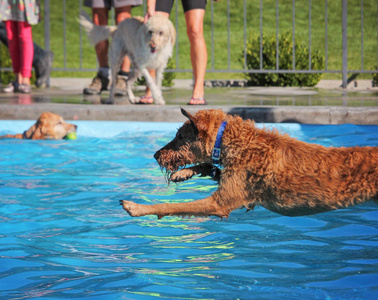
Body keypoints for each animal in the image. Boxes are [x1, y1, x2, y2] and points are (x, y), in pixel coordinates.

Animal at [119, 109, 376, 219]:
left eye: (180, 136)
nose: (155, 155)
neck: (236, 141)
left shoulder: (219, 203)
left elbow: (170, 206)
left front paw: (138, 208)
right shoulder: (237, 184)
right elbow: (212, 168)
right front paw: (185, 174)